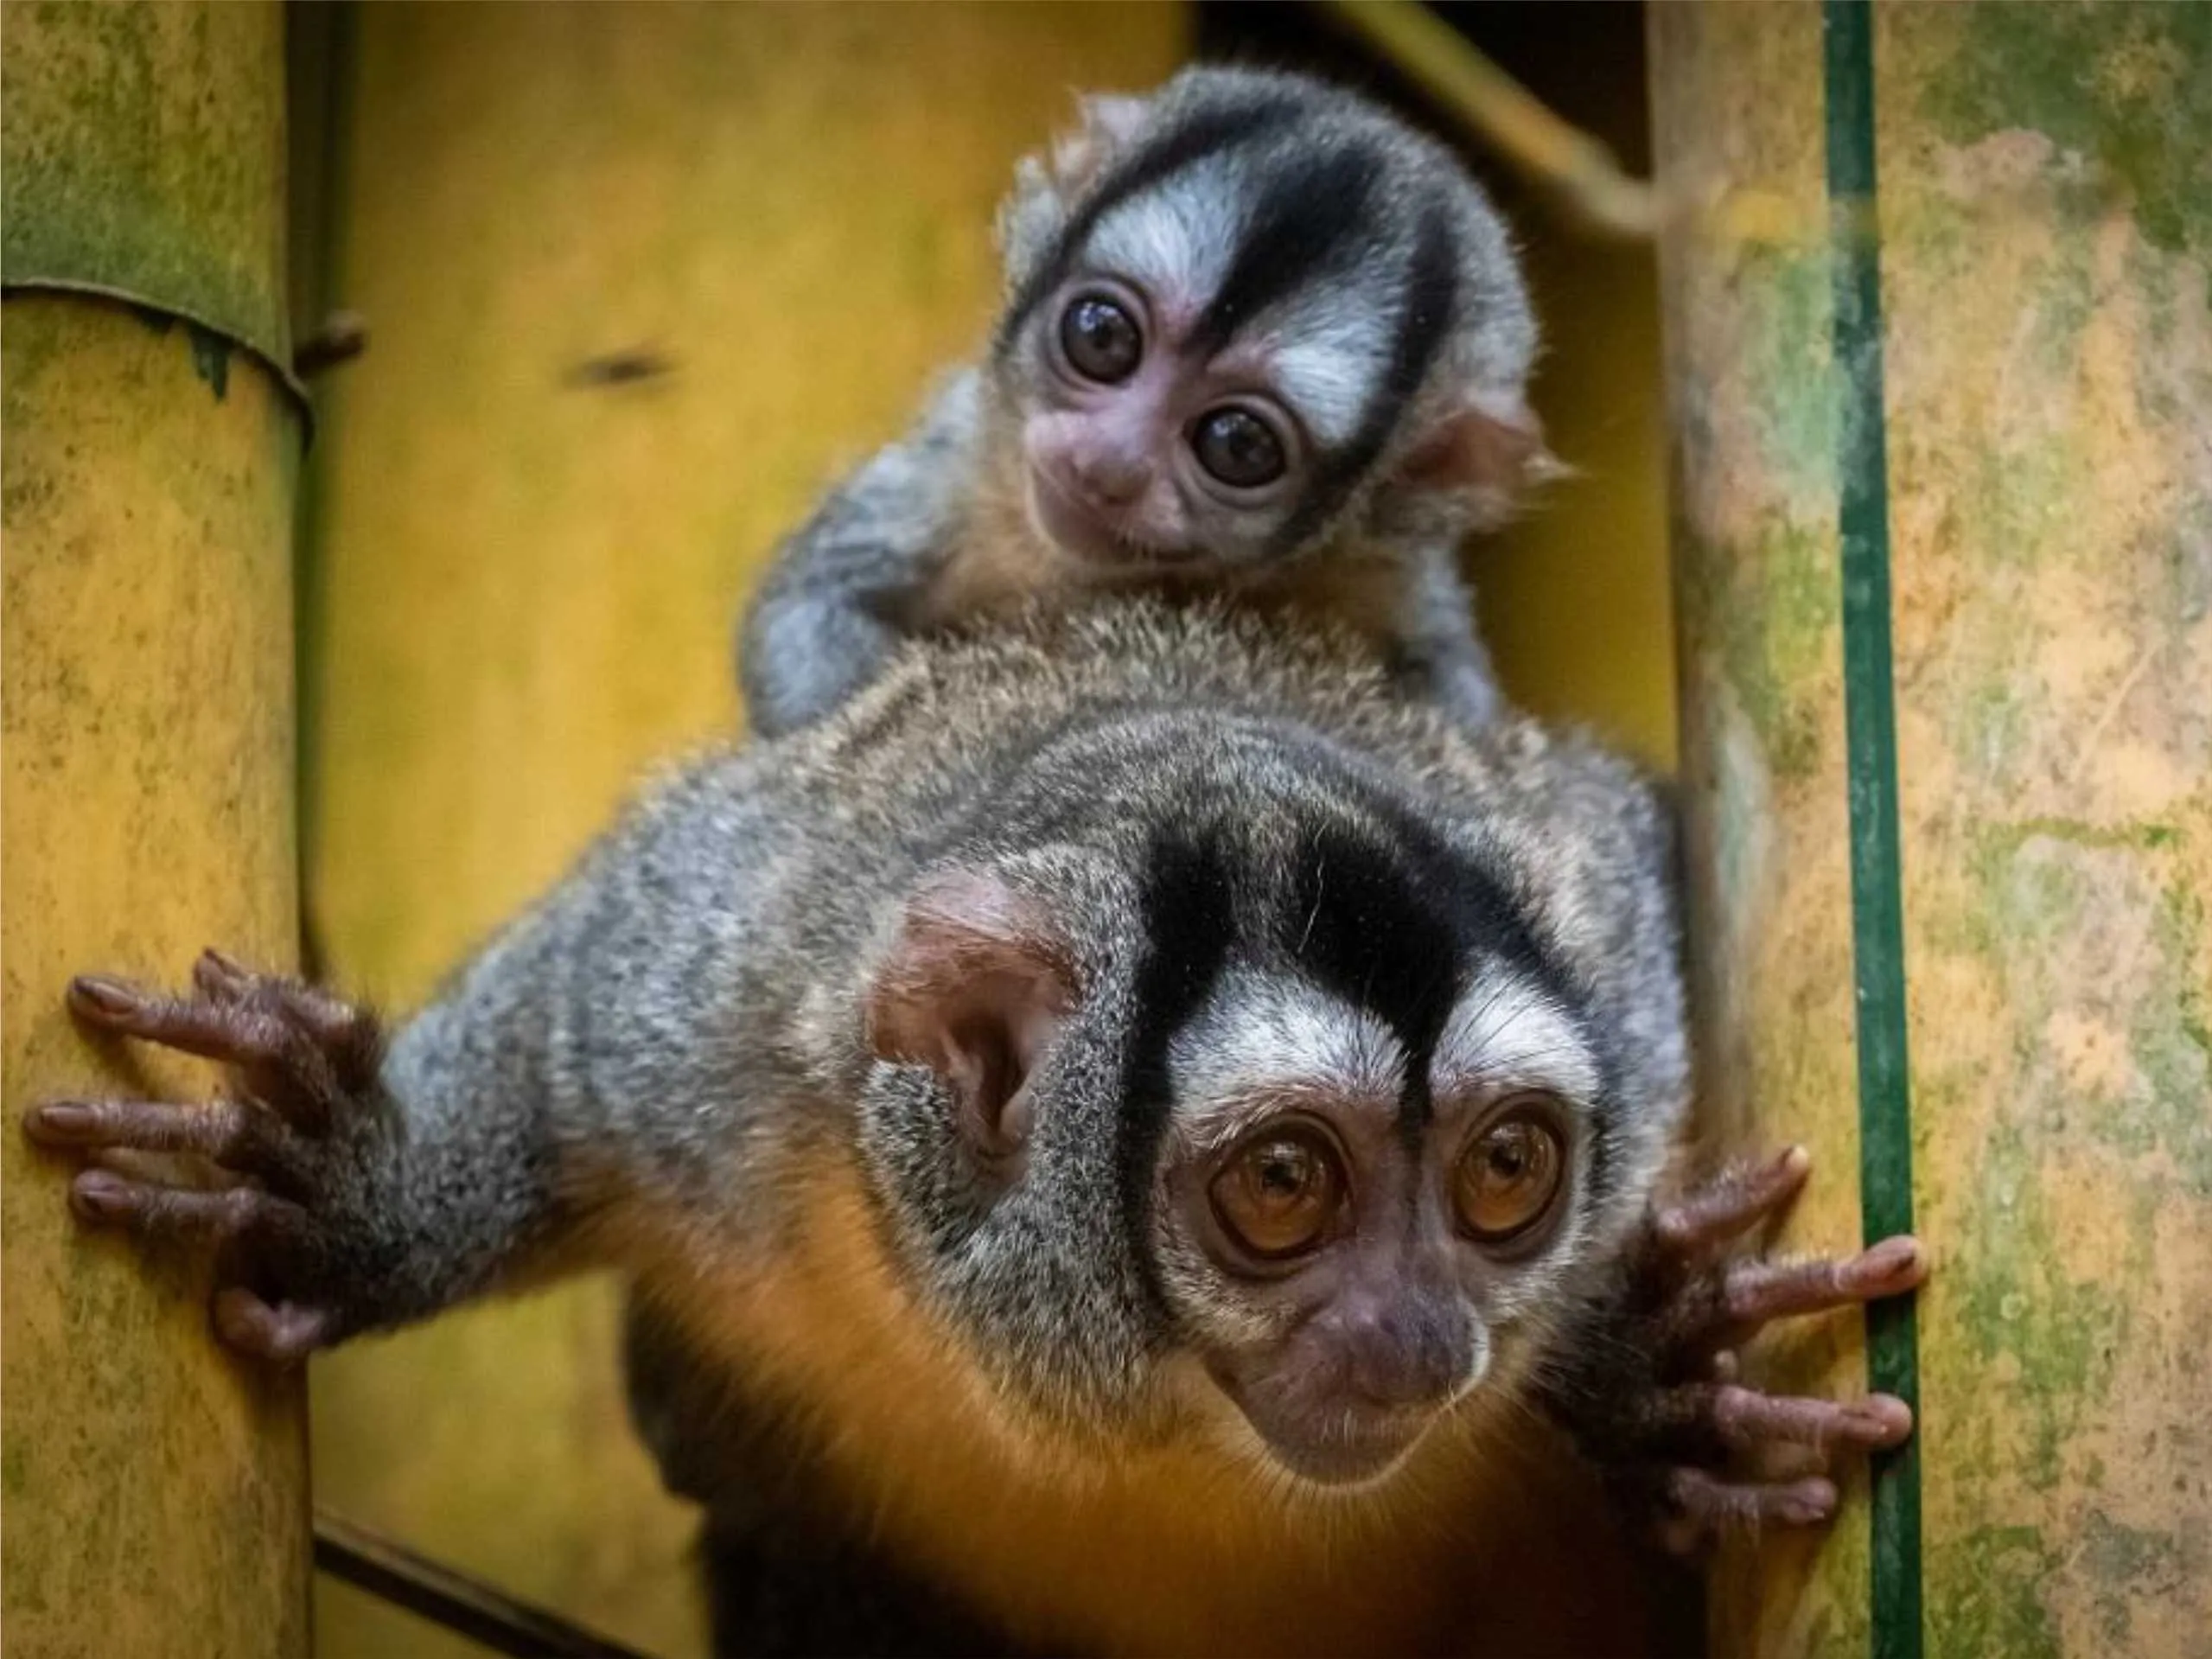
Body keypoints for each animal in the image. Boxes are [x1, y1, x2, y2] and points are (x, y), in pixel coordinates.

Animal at [29, 598, 1922, 1657]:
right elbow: (566, 1018)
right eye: (1281, 1183)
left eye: (1507, 1167)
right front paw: (343, 1194)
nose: (1419, 1336)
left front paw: (1647, 1371)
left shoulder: (1618, 947)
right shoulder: (728, 1012)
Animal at [737, 66, 1558, 740]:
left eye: (1238, 444)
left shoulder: (1391, 579)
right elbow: (805, 604)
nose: (1107, 464)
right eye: (1102, 335)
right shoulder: (964, 458)